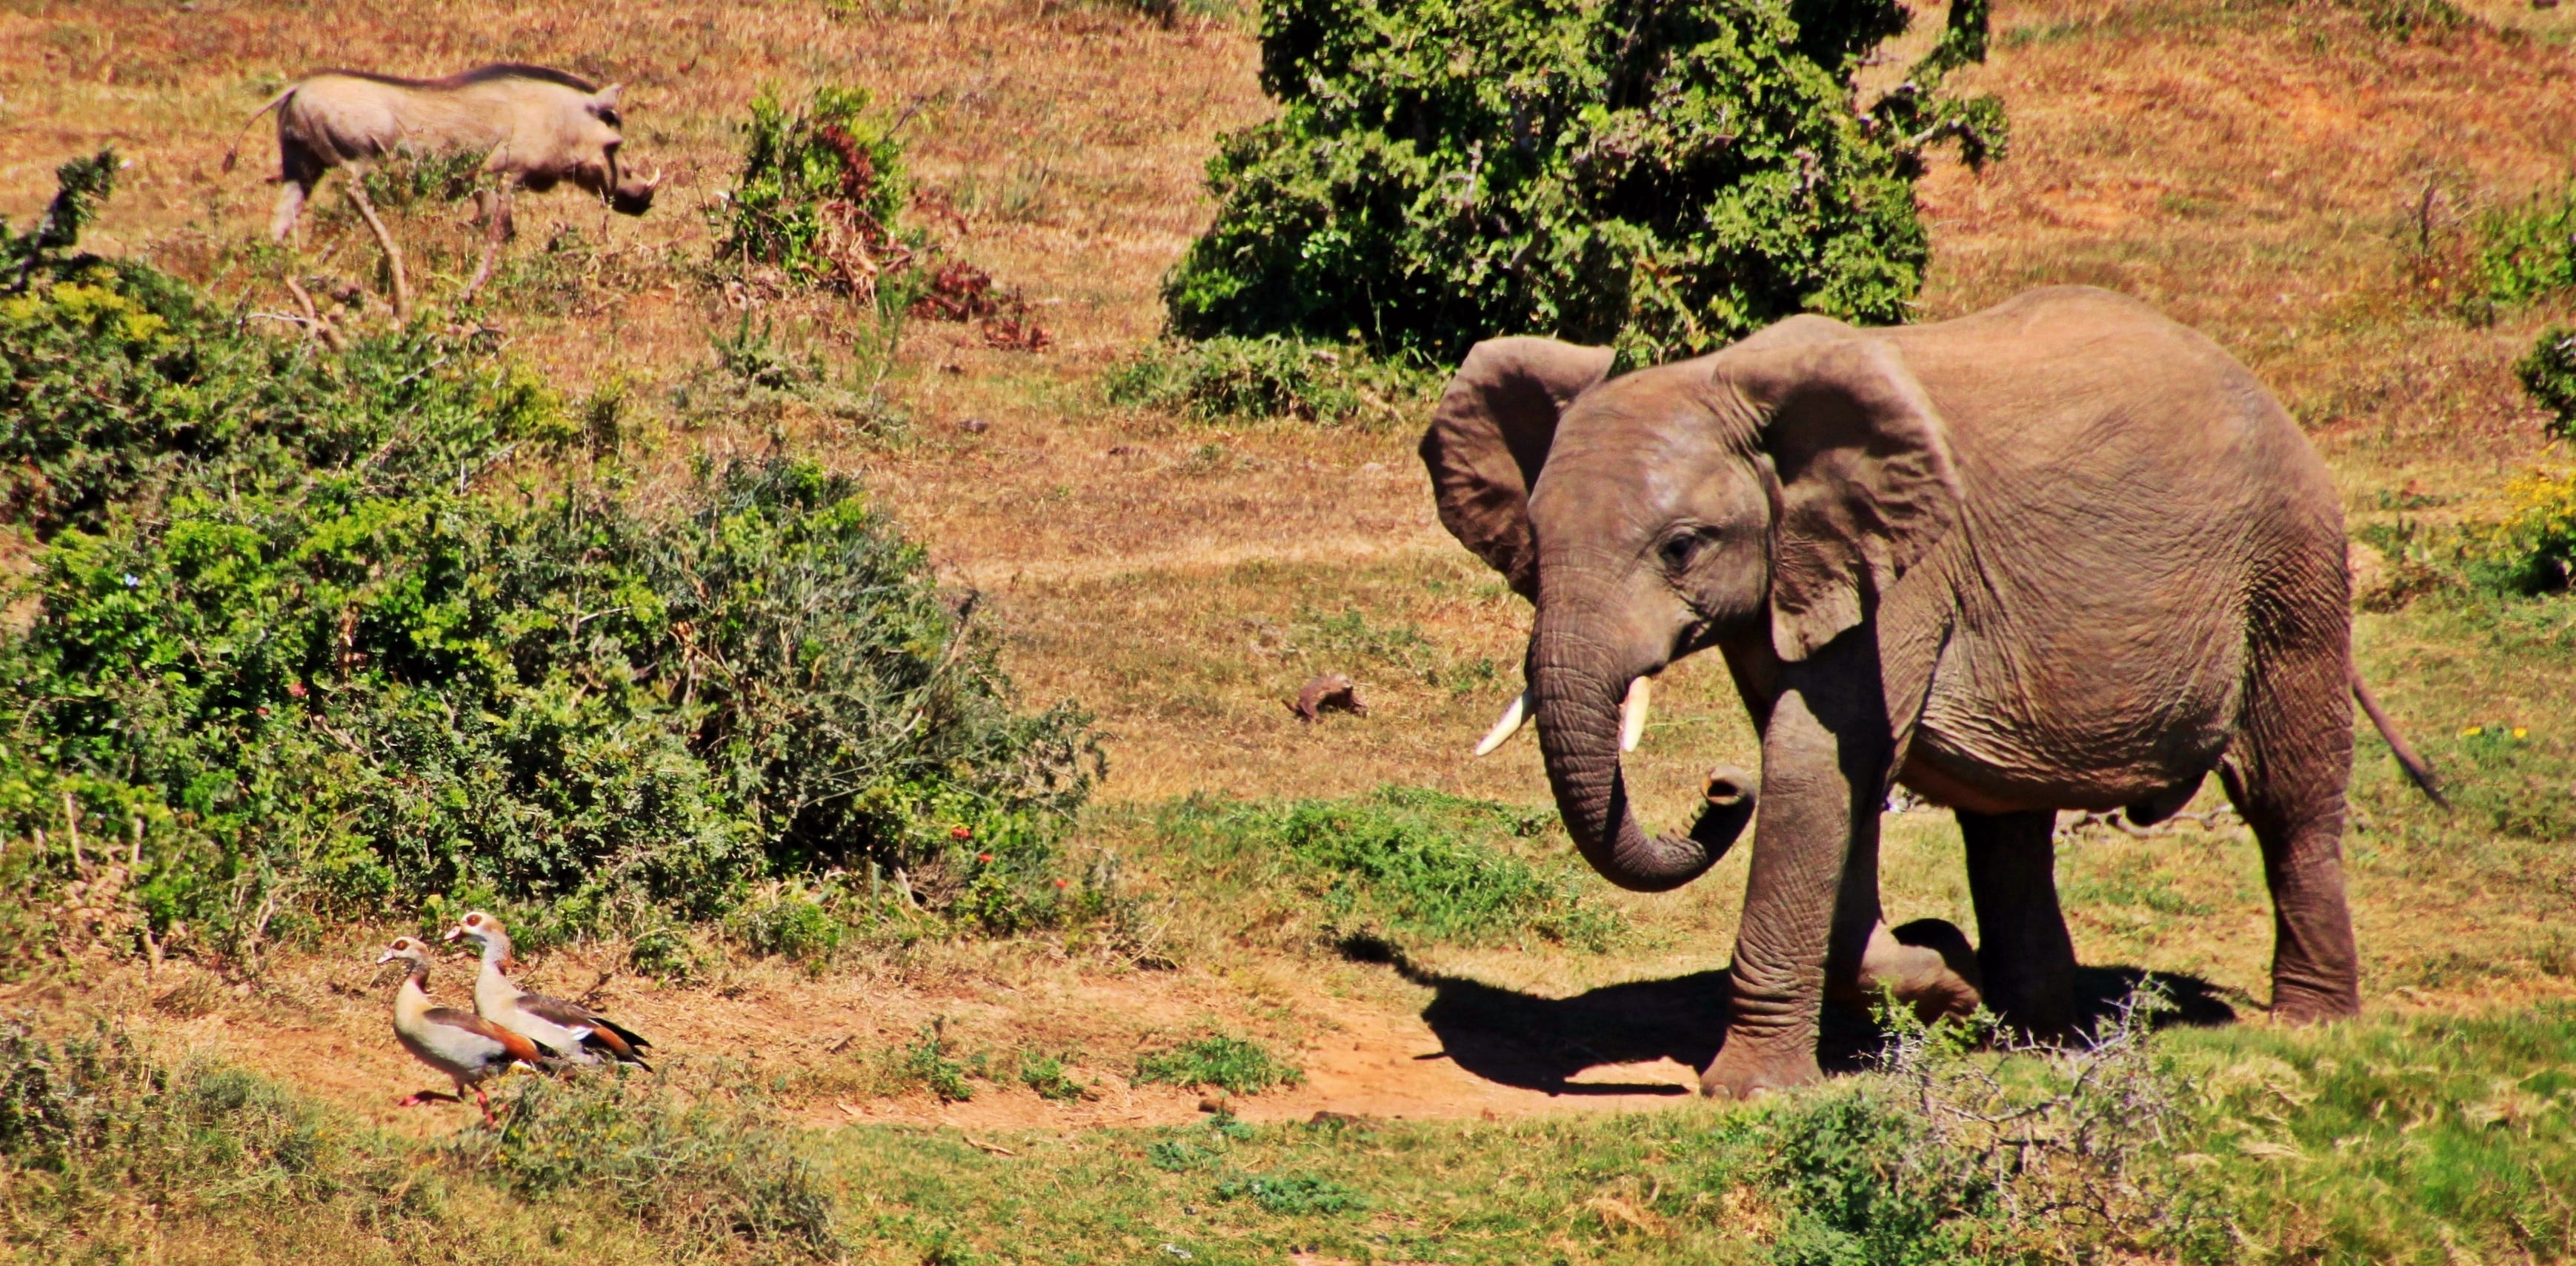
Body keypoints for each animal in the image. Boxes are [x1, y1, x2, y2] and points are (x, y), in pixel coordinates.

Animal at [1418, 286, 2442, 1098]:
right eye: (1537, 545)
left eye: (1681, 546)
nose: (1717, 789)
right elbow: (1837, 783)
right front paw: (1948, 978)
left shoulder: (1907, 570)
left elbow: (1817, 766)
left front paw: (1755, 1086)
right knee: (2010, 824)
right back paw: (2038, 1035)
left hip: (2292, 565)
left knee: (2288, 796)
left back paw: (2311, 1026)